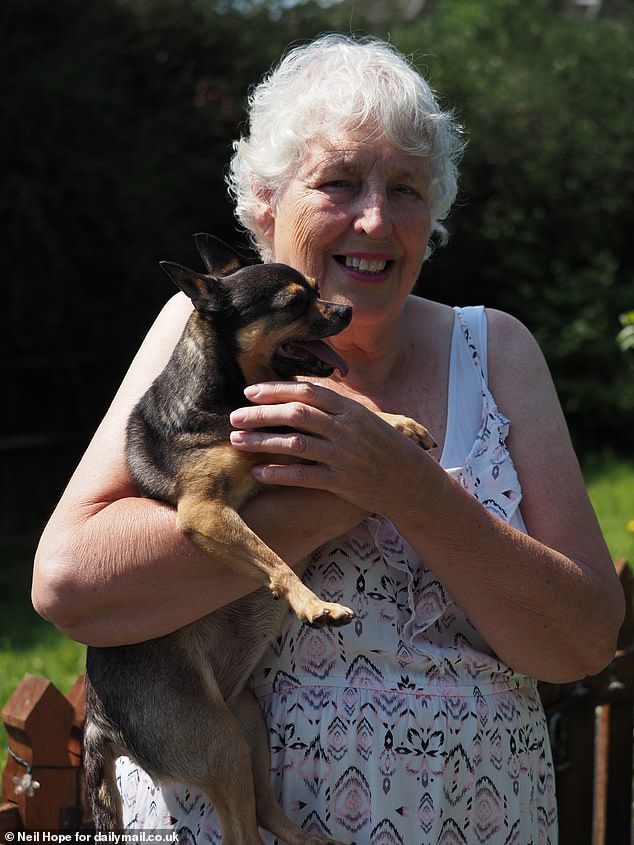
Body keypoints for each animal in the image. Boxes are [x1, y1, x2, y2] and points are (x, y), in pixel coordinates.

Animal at [84, 234, 434, 844]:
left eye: (318, 289)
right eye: (296, 303)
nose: (344, 310)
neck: (233, 398)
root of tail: (97, 721)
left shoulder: (286, 437)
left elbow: (335, 419)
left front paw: (394, 421)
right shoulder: (205, 511)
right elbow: (272, 558)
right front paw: (311, 603)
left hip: (247, 723)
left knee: (267, 812)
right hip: (216, 741)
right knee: (241, 830)